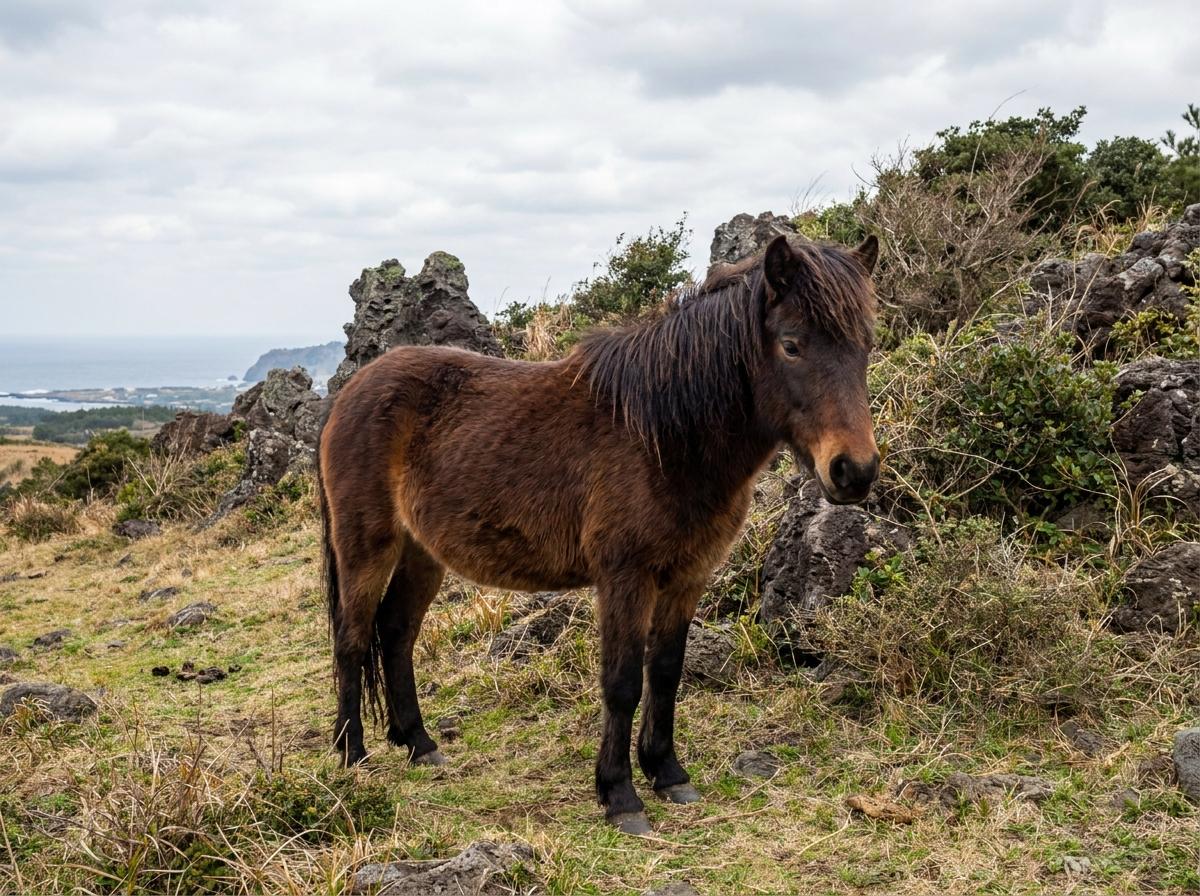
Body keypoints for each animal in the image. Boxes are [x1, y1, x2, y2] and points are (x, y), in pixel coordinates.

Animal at [318, 233, 880, 834]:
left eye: (865, 345)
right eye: (792, 346)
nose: (855, 471)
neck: (663, 434)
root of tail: (349, 394)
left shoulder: (687, 577)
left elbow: (665, 672)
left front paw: (668, 773)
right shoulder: (624, 578)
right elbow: (622, 683)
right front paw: (620, 795)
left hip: (423, 552)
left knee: (396, 632)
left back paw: (420, 744)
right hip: (366, 546)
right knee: (353, 638)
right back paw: (353, 755)